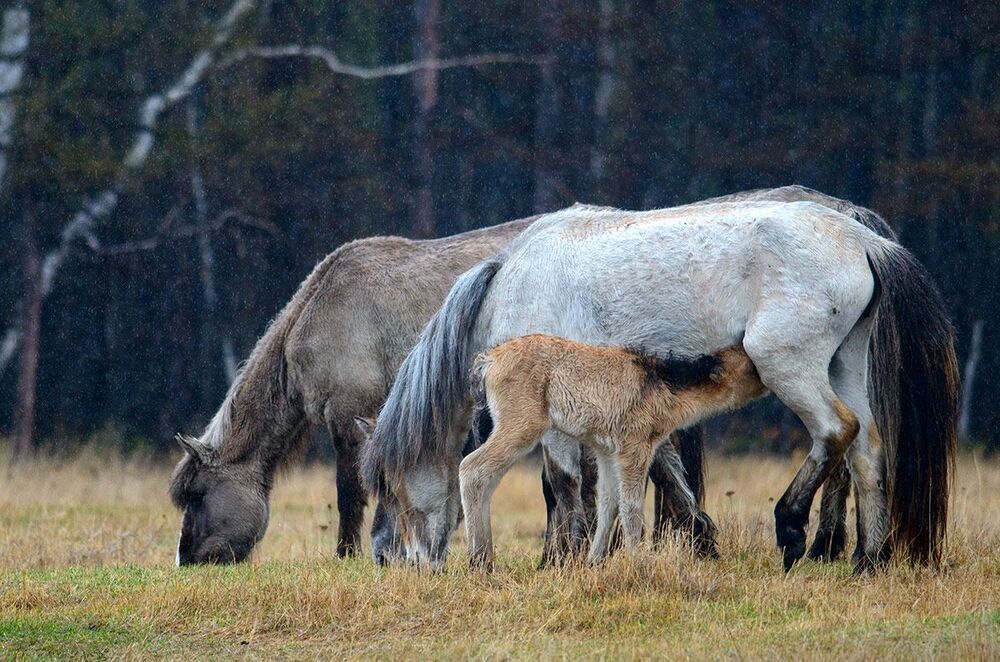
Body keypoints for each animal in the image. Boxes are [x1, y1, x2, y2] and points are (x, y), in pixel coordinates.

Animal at [361, 199, 958, 574]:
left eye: (393, 488)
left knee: (836, 431)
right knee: (867, 449)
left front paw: (561, 559)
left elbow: (562, 483)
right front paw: (693, 538)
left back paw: (793, 532)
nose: (404, 565)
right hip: (843, 365)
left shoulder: (552, 420)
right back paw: (868, 561)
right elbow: (661, 472)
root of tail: (860, 237)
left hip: (789, 366)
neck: (512, 281)